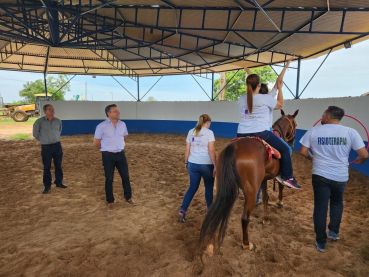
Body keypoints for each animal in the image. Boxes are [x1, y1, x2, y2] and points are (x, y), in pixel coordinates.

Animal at [197, 109, 298, 254]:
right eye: (295, 124)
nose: (293, 141)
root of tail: (234, 147)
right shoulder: (277, 175)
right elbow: (280, 185)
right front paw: (279, 202)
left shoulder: (264, 179)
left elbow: (266, 197)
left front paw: (266, 219)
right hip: (251, 191)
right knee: (245, 218)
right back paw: (246, 243)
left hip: (221, 186)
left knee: (216, 210)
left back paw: (210, 245)